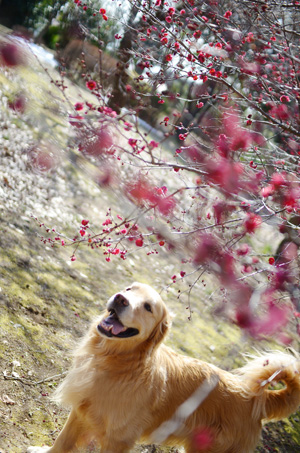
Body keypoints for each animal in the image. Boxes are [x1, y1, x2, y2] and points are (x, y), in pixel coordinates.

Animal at [26, 280, 300, 450]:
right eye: (129, 289)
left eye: (148, 307)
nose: (121, 299)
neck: (118, 362)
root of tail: (255, 396)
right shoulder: (80, 411)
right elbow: (62, 442)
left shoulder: (119, 438)